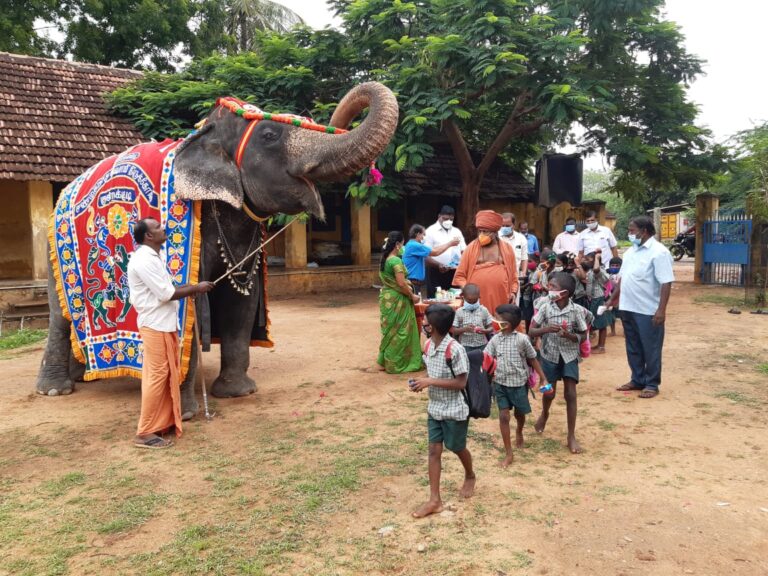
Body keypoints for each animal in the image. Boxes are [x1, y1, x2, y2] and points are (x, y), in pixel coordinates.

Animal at [35, 80, 396, 418]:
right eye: (269, 135)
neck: (203, 135)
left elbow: (242, 299)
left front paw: (238, 393)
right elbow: (188, 303)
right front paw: (188, 413)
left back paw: (85, 375)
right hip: (55, 250)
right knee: (58, 317)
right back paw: (55, 390)